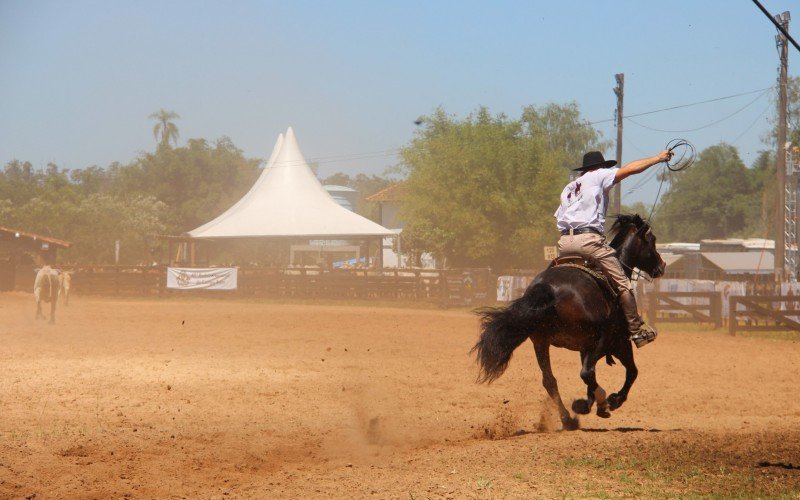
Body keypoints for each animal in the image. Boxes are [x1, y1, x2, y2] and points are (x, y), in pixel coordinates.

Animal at [472, 215, 664, 430]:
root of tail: (548, 288)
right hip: (600, 339)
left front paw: (590, 404)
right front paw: (613, 400)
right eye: (652, 240)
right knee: (587, 373)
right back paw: (600, 402)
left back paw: (569, 418)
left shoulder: (585, 347)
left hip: (541, 342)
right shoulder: (618, 343)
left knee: (551, 380)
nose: (661, 266)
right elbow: (631, 372)